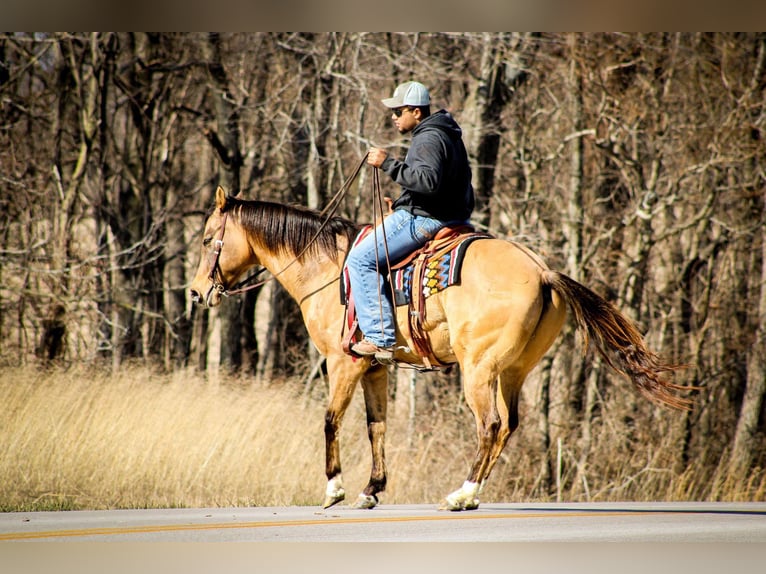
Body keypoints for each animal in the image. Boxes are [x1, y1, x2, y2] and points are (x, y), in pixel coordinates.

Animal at [189, 186, 692, 512]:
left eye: (207, 238)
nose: (196, 293)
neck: (327, 270)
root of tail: (543, 271)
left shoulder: (343, 362)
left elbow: (331, 421)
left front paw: (334, 489)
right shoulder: (375, 368)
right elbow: (376, 426)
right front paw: (371, 490)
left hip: (478, 369)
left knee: (490, 425)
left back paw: (462, 494)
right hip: (513, 371)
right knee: (508, 426)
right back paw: (472, 493)